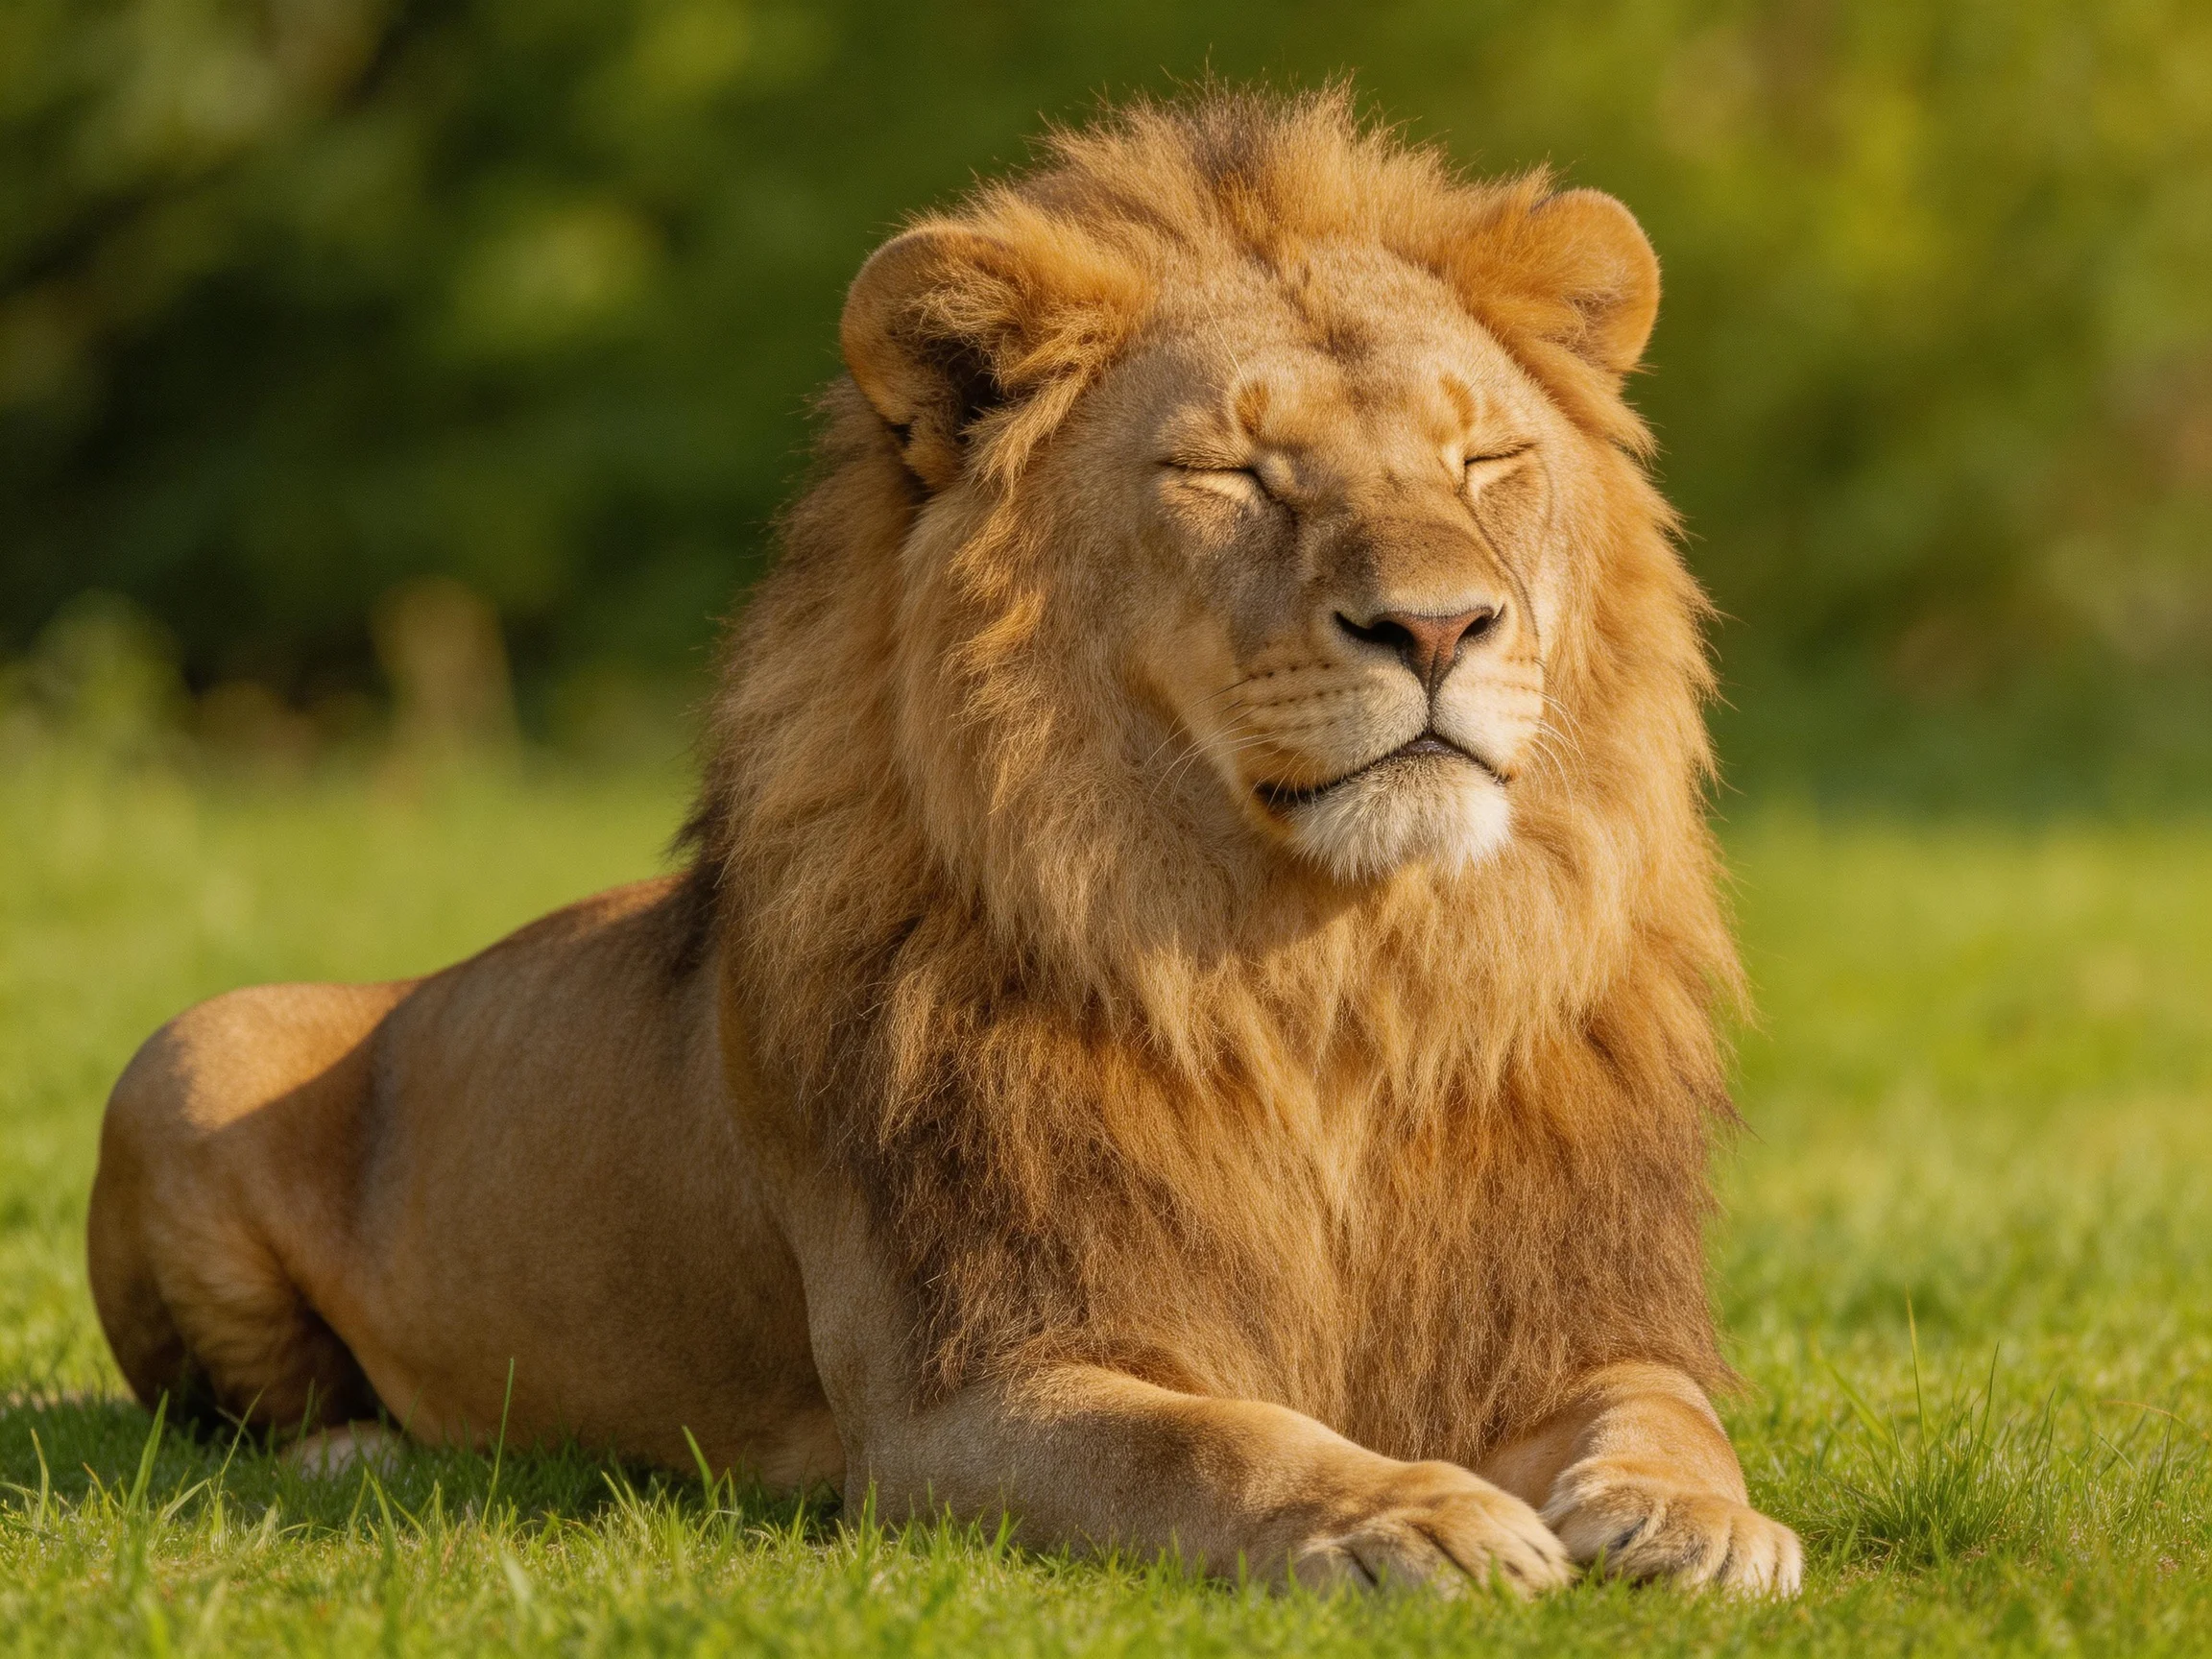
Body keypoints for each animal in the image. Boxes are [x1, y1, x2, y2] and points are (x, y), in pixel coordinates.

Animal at [87, 90, 1802, 1596]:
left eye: (1485, 460)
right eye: (1228, 472)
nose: (1441, 627)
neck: (1326, 984)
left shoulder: (1574, 1319)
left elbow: (1669, 1409)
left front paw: (1697, 1523)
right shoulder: (959, 1400)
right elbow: (1221, 1444)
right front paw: (1403, 1516)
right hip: (187, 1049)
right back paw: (362, 1452)